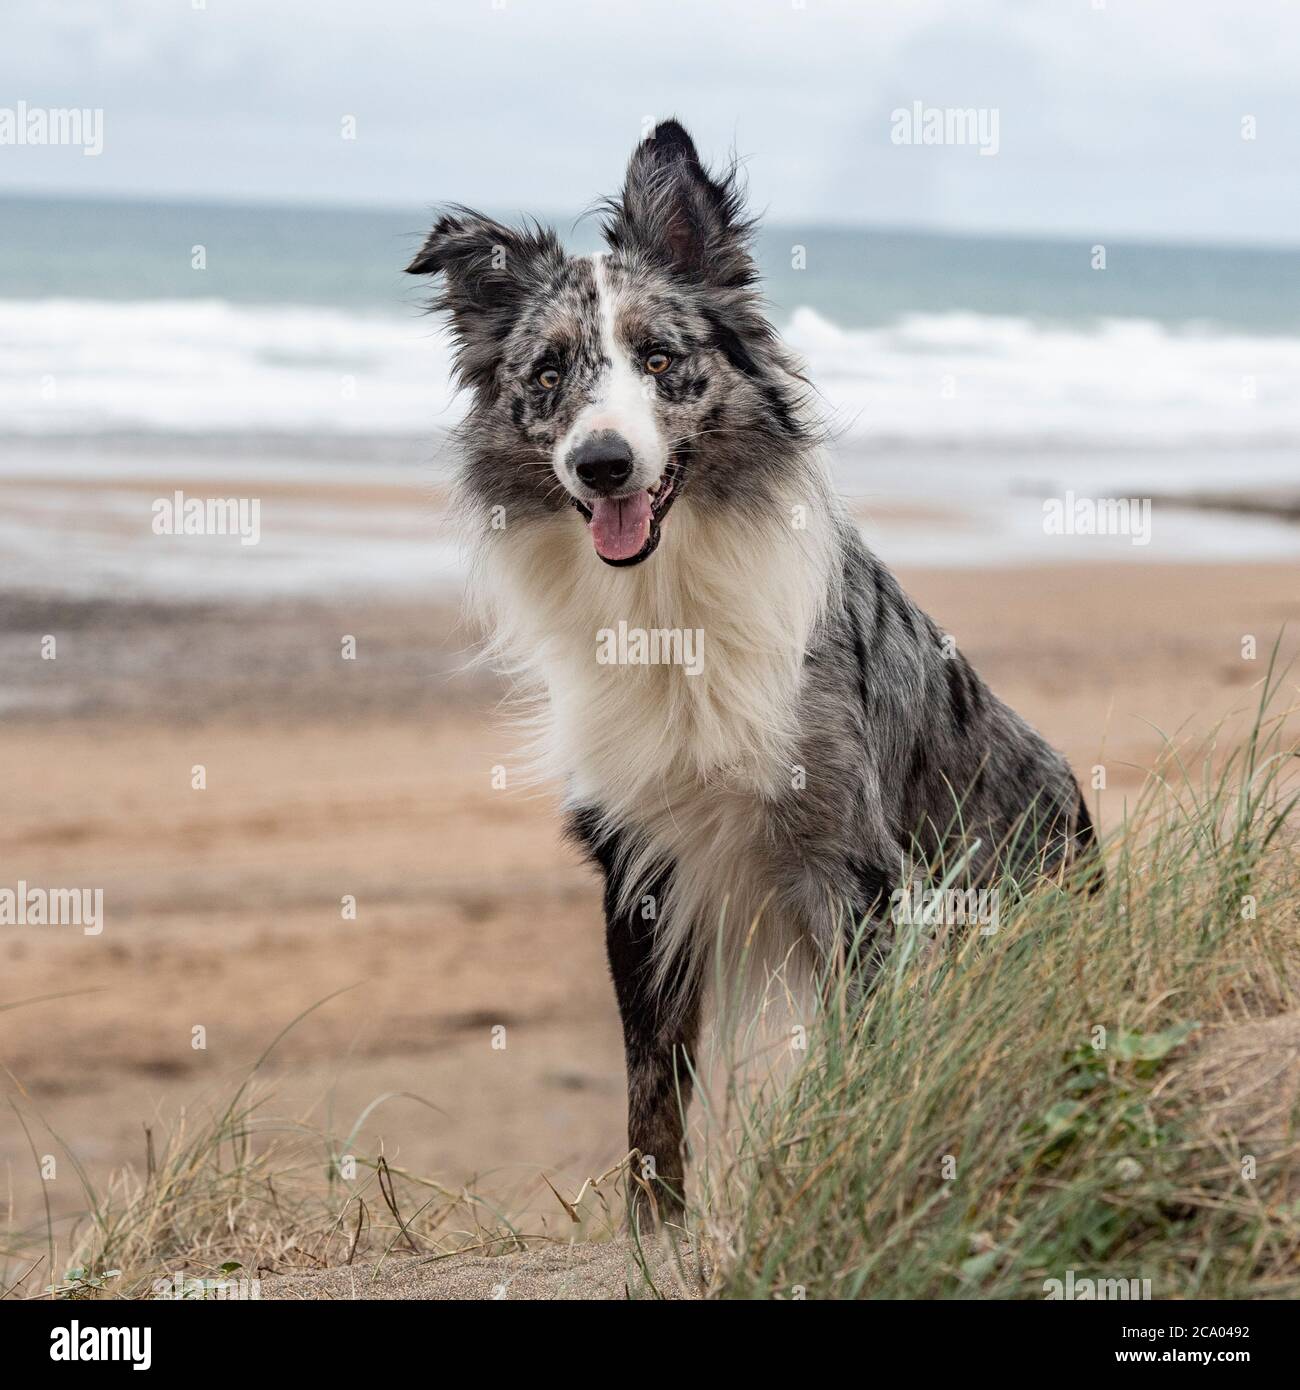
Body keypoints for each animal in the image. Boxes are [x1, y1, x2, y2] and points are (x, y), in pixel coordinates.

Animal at [408, 122, 1095, 1228]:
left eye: (660, 359)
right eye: (550, 373)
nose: (602, 464)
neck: (665, 600)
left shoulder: (849, 864)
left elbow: (859, 1053)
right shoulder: (640, 865)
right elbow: (652, 1082)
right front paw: (655, 1231)